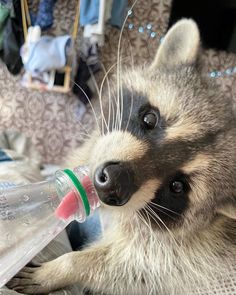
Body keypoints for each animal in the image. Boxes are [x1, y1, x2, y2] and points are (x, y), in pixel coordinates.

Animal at [7, 19, 236, 295]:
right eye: (150, 119)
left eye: (178, 186)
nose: (113, 183)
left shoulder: (188, 253)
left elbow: (130, 269)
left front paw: (63, 268)